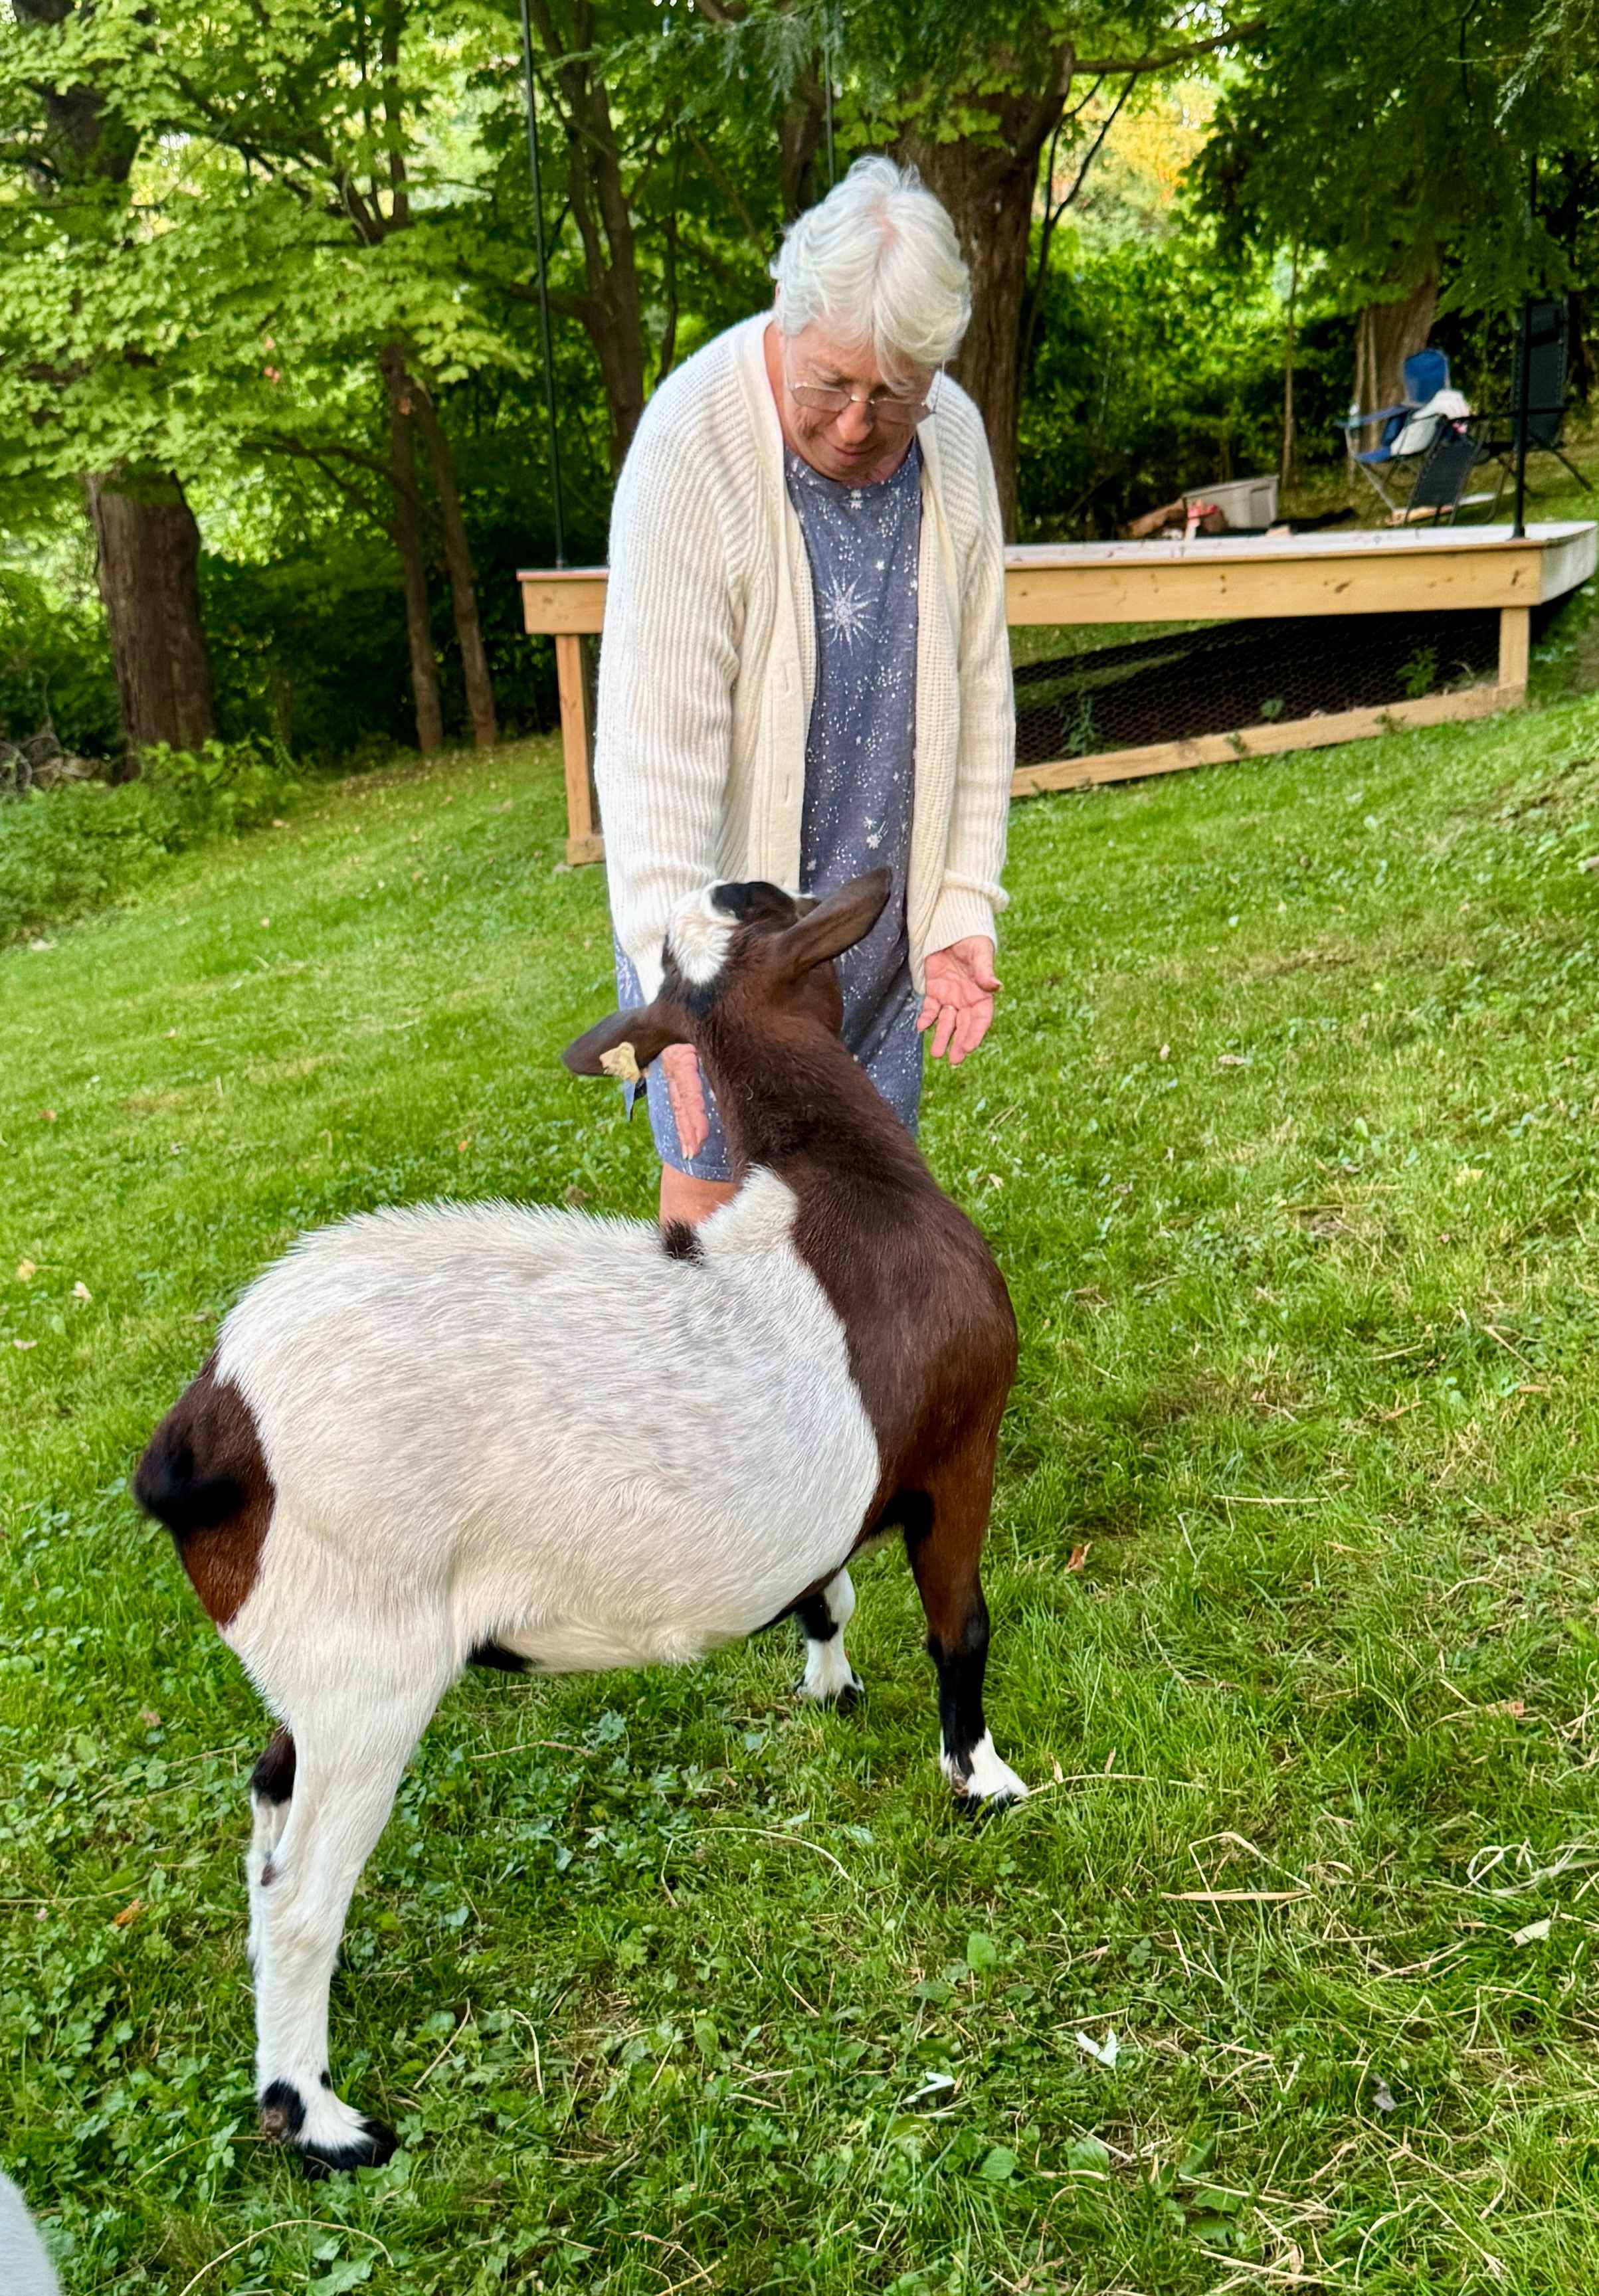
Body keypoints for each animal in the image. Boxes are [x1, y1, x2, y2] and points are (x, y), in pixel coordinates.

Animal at [133, 868, 1025, 2176]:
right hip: (371, 1676)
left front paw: (829, 1683)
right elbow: (958, 1628)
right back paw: (323, 2120)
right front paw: (983, 1780)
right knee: (301, 1894)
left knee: (267, 1811)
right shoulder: (961, 1453)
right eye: (779, 909)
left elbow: (826, 1584)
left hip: (313, 1654)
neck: (837, 1176)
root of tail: (209, 1423)